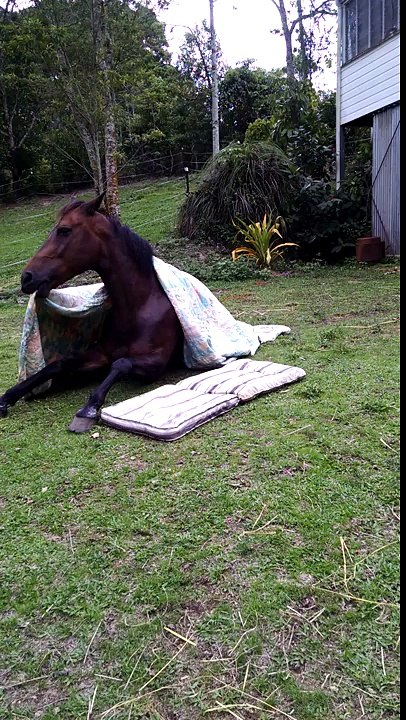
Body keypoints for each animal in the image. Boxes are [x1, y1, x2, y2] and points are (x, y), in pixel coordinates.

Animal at [0, 193, 184, 432]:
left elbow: (121, 363)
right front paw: (7, 397)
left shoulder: (156, 362)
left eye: (64, 230)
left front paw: (88, 409)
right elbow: (58, 364)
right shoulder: (100, 353)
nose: (26, 277)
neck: (138, 307)